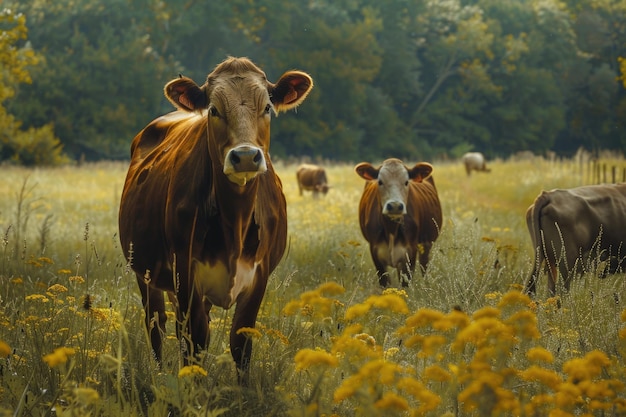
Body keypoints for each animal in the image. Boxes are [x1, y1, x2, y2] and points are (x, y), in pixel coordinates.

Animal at [117, 57, 312, 382]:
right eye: (213, 110)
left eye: (267, 107)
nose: (244, 157)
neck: (236, 221)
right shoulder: (184, 273)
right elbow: (193, 342)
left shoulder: (258, 276)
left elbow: (240, 343)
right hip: (144, 271)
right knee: (156, 324)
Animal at [354, 157, 442, 286]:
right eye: (380, 182)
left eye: (406, 182)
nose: (395, 206)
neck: (391, 228)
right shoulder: (375, 253)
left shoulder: (409, 253)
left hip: (426, 245)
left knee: (424, 267)